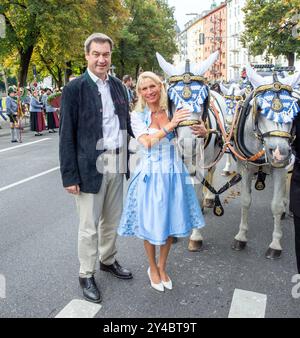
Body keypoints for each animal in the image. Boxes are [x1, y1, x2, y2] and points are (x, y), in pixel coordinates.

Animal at [157, 50, 227, 251]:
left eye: (202, 99)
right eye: (172, 100)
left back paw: (208, 198)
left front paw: (195, 235)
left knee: (209, 173)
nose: (189, 144)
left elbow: (197, 188)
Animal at [232, 66, 300, 258]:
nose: (279, 153)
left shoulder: (280, 169)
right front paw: (241, 237)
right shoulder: (246, 167)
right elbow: (245, 200)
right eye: (261, 109)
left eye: (293, 110)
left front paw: (275, 244)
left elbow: (275, 205)